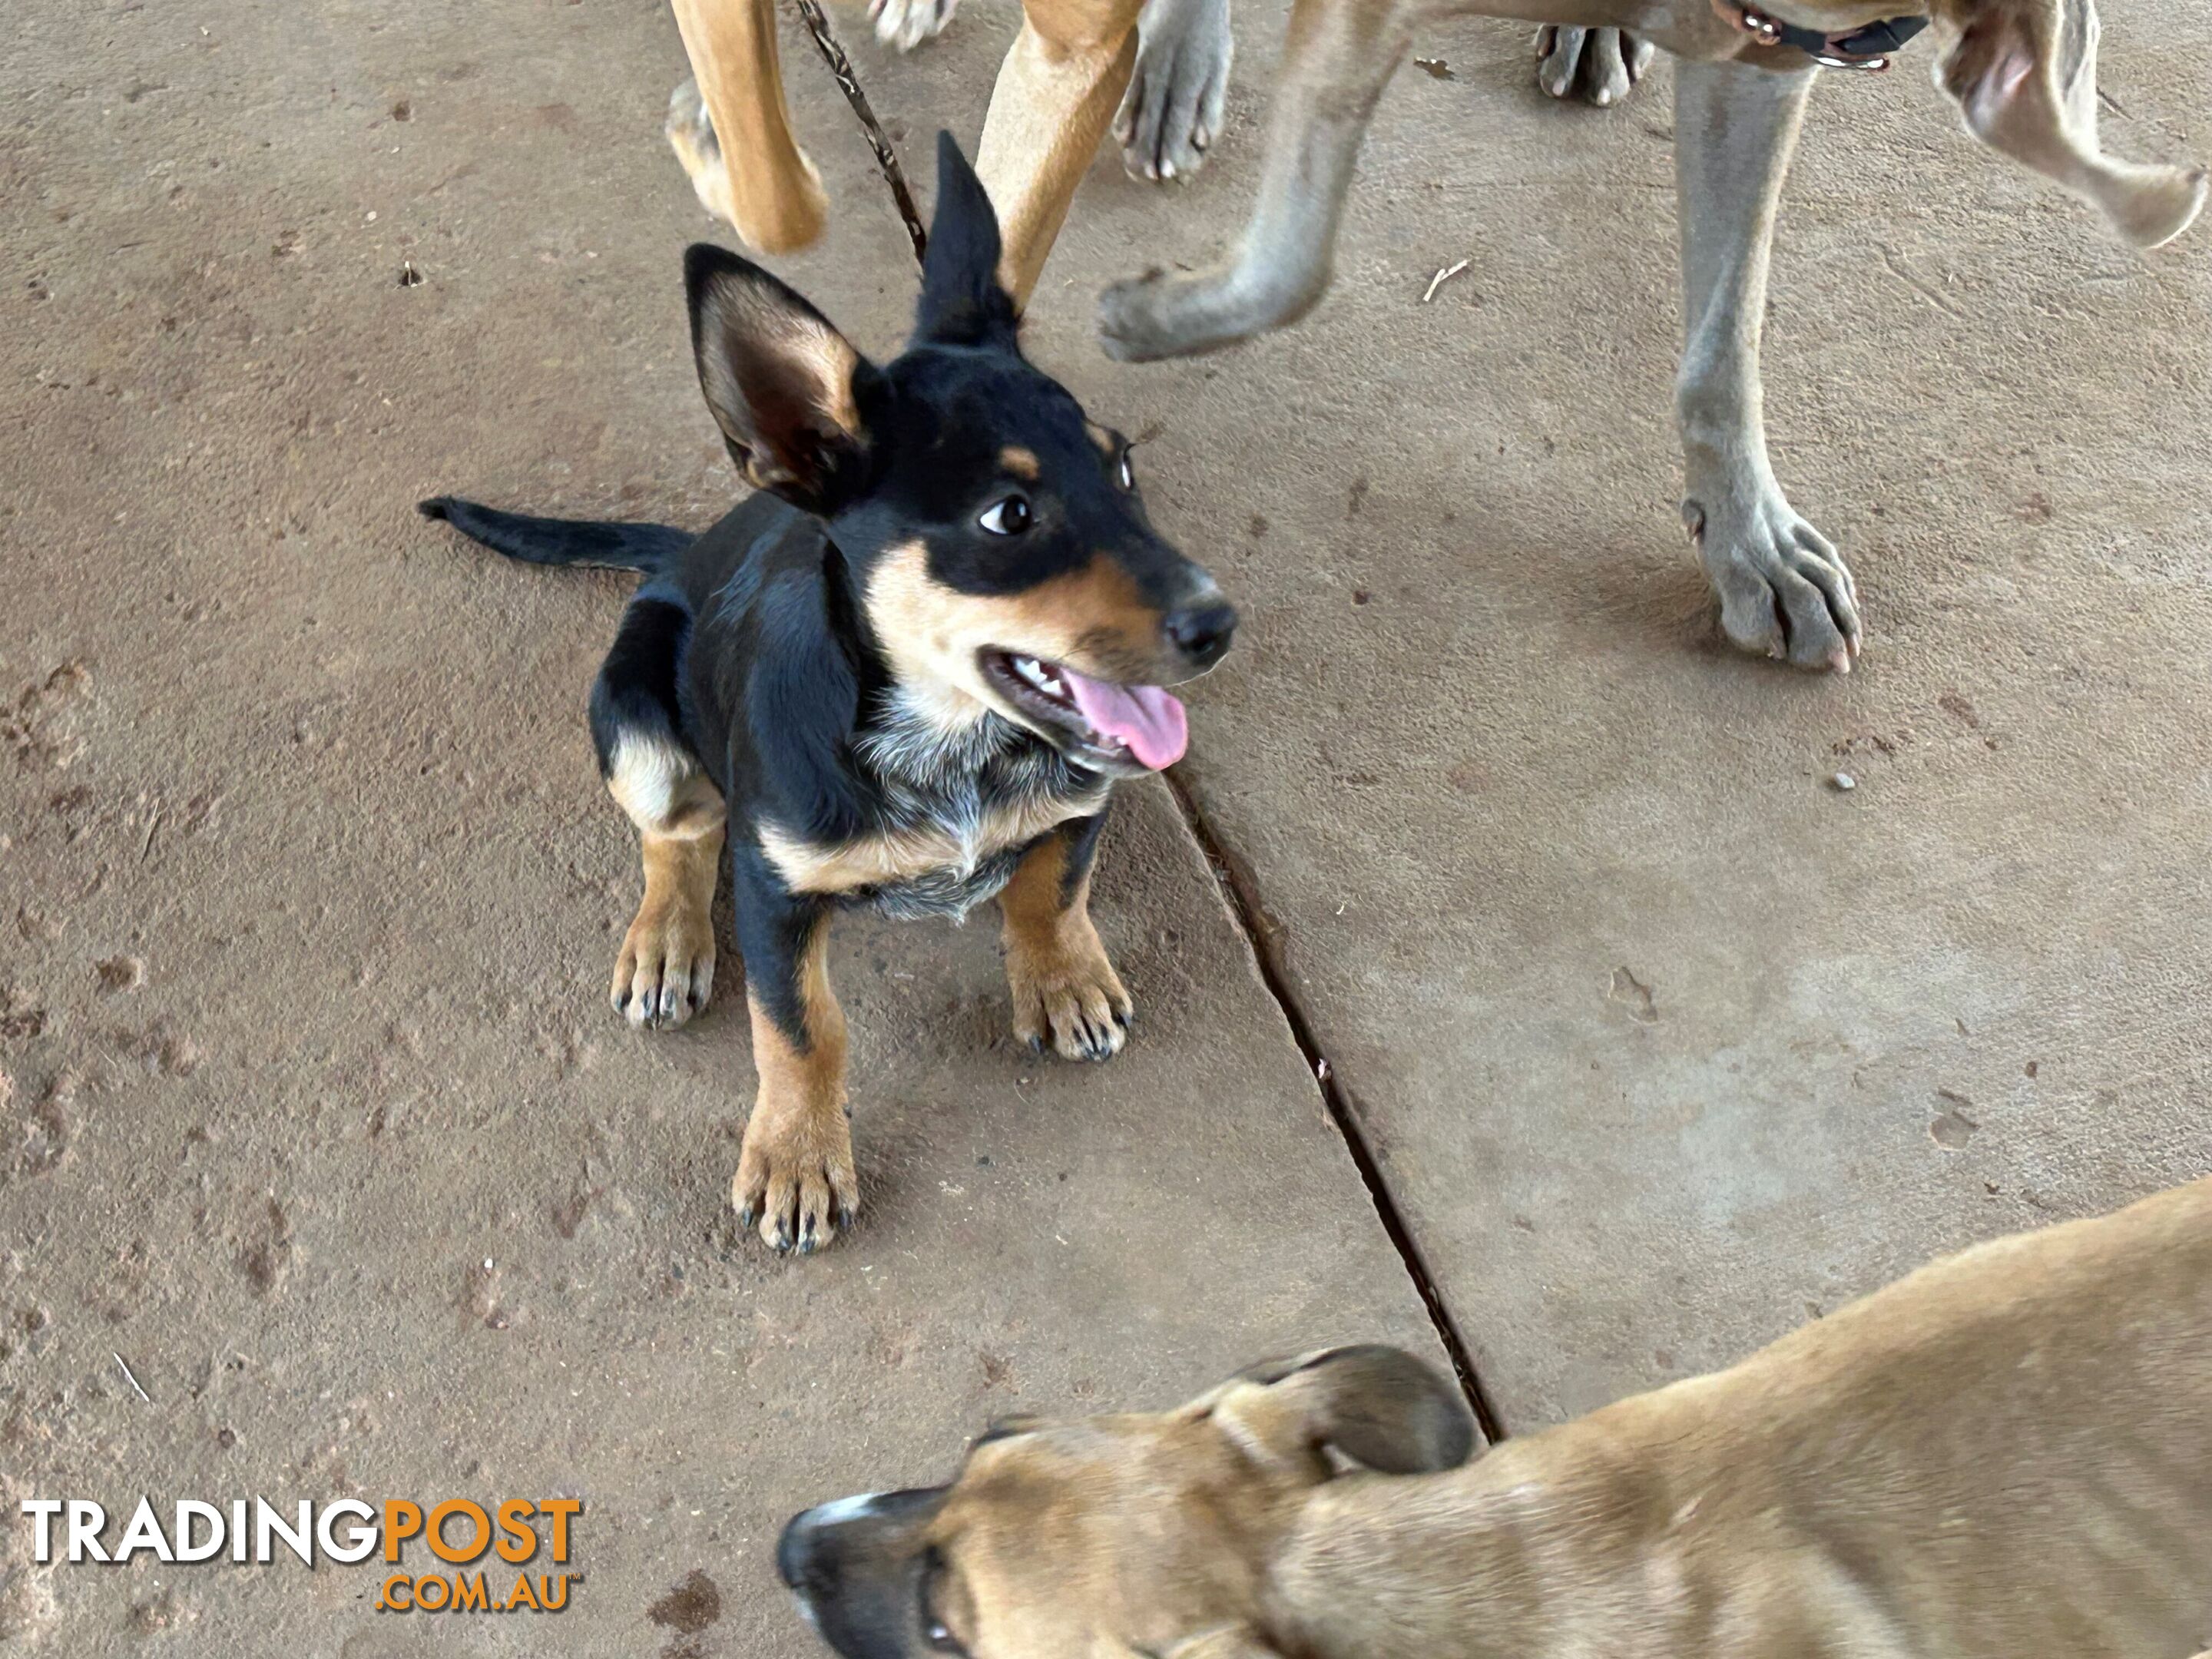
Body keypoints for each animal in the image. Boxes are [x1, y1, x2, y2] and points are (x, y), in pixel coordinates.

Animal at [422, 140, 1238, 1256]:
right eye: (1008, 514)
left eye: (1122, 467)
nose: (1219, 624)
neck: (950, 745)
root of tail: (682, 553)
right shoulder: (776, 893)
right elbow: (799, 1031)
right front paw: (797, 1158)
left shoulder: (1081, 799)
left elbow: (1052, 889)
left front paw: (1063, 978)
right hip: (633, 718)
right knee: (678, 835)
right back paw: (667, 944)